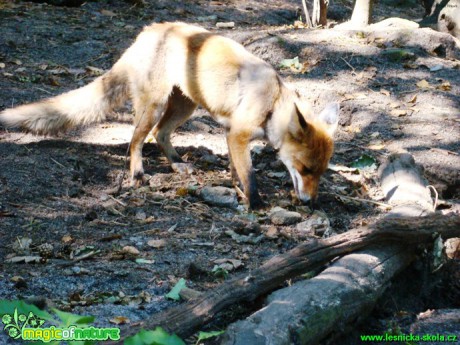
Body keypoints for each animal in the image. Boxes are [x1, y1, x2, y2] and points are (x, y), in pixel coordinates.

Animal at [0, 23, 338, 210]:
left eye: (321, 172)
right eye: (305, 169)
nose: (313, 204)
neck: (272, 101)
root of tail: (149, 30)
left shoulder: (231, 135)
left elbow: (237, 171)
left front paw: (238, 189)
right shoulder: (238, 135)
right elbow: (250, 175)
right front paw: (255, 203)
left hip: (184, 107)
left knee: (160, 135)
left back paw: (176, 164)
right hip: (154, 106)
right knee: (135, 142)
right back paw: (137, 174)